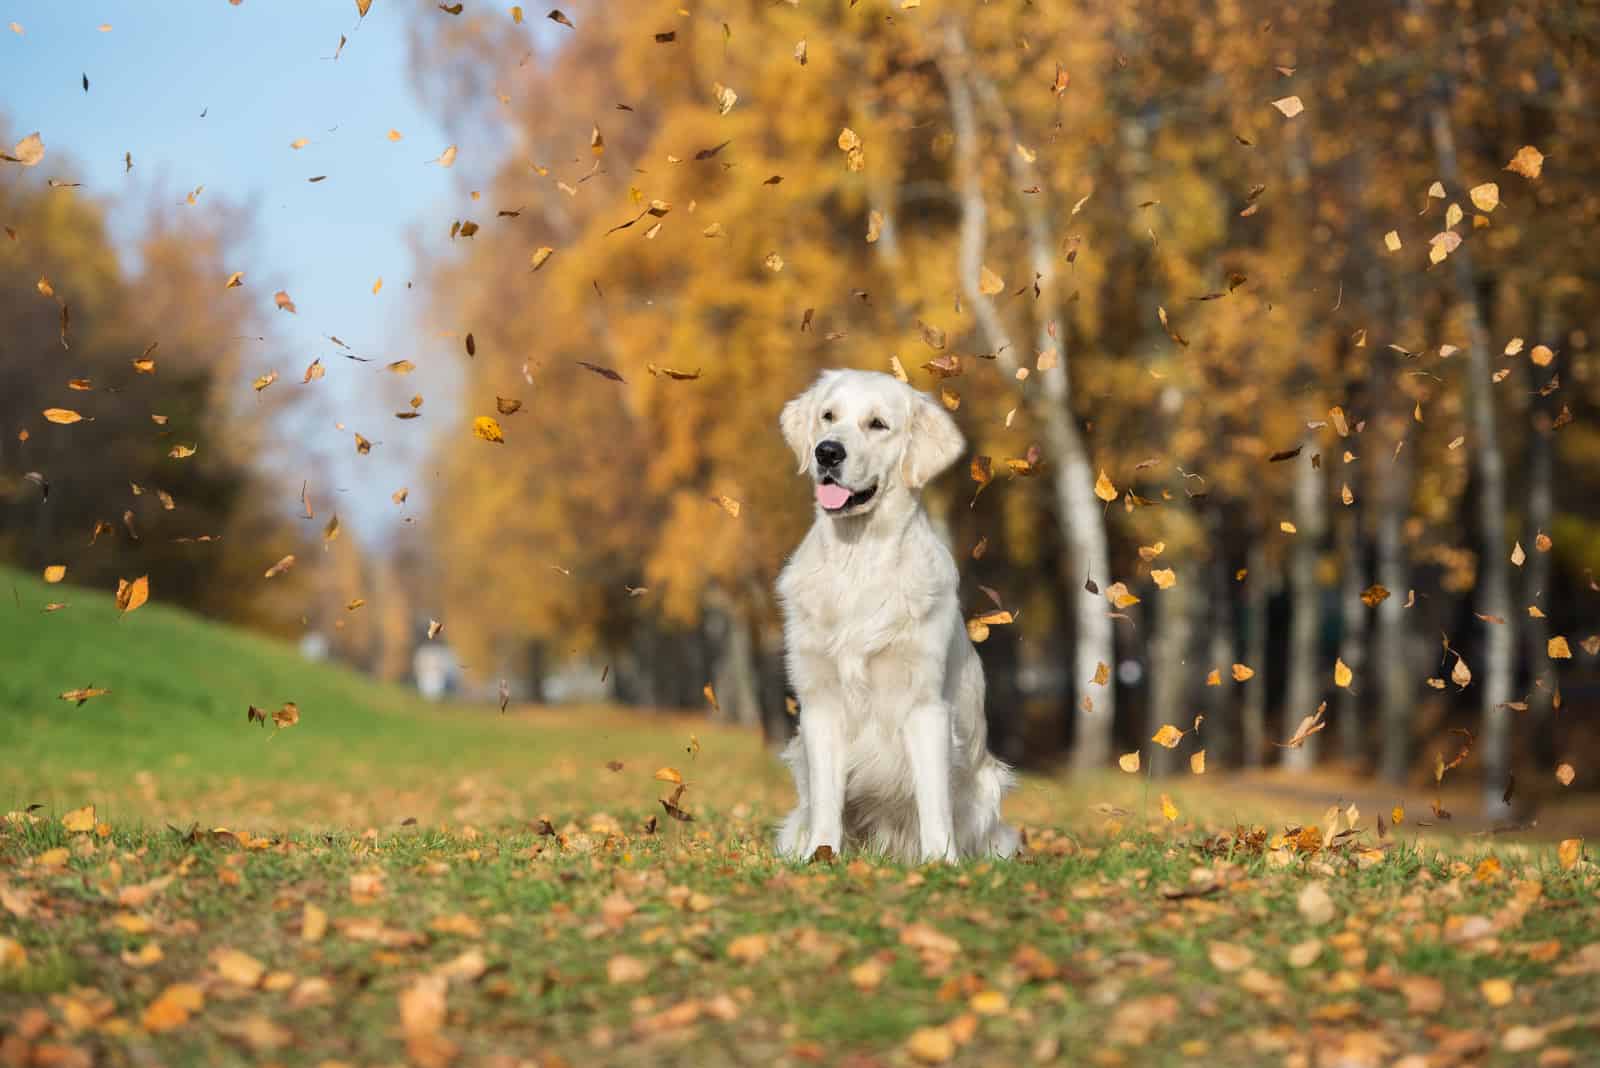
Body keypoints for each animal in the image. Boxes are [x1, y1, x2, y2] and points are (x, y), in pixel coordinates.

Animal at [771, 370, 1017, 863]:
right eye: (828, 416)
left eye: (878, 424)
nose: (827, 451)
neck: (859, 558)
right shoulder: (820, 704)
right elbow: (827, 798)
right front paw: (821, 857)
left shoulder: (926, 706)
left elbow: (933, 801)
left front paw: (941, 863)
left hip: (988, 792)